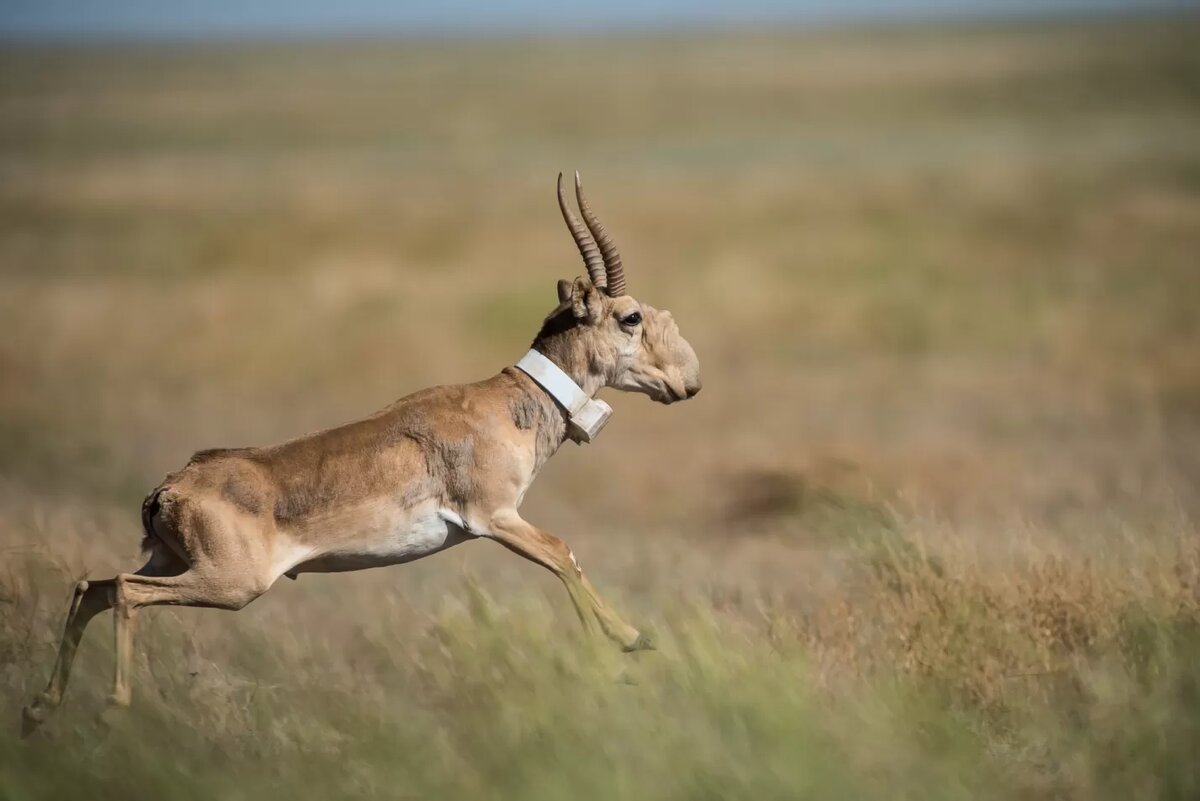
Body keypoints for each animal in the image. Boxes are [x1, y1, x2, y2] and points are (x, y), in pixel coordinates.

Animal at [23, 172, 700, 733]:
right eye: (630, 316)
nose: (686, 384)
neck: (507, 403)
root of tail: (169, 488)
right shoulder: (495, 517)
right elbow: (563, 554)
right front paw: (631, 640)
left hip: (172, 563)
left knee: (92, 586)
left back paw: (40, 708)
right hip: (229, 585)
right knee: (124, 592)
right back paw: (112, 706)